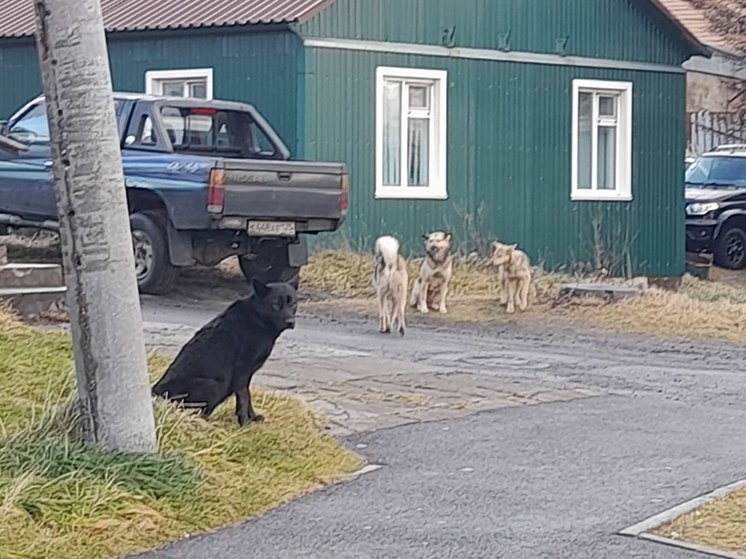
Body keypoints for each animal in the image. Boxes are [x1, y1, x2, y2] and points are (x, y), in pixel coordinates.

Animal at [151, 280, 296, 424]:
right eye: (275, 305)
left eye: (293, 304)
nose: (290, 322)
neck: (257, 318)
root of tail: (155, 392)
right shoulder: (242, 371)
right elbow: (244, 396)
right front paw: (245, 422)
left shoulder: (247, 375)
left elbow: (248, 396)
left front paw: (253, 418)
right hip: (212, 385)